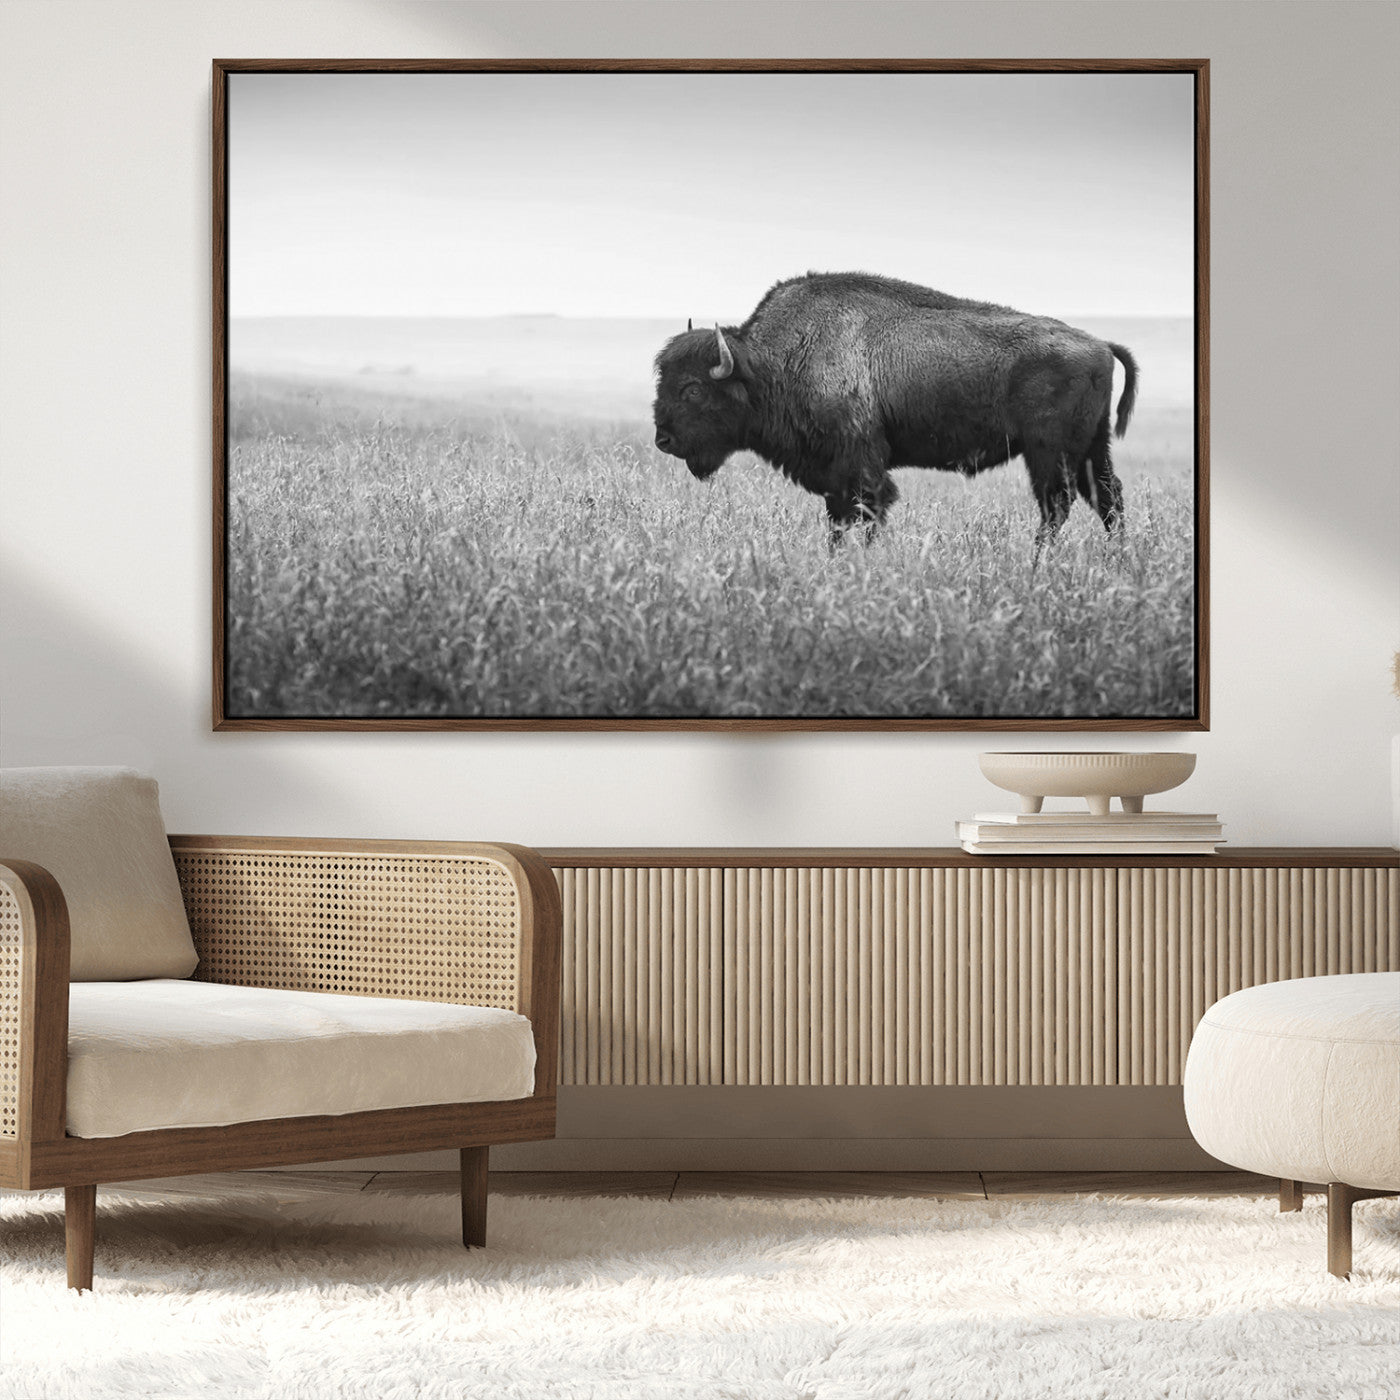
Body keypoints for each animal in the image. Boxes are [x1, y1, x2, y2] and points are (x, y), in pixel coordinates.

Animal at [652, 272, 1138, 551]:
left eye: (693, 388)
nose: (663, 440)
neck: (771, 363)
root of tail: (1099, 344)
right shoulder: (835, 476)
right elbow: (838, 520)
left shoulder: (860, 466)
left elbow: (866, 512)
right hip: (1091, 448)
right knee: (1107, 498)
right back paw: (1116, 560)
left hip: (1049, 453)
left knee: (1057, 505)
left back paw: (1038, 562)